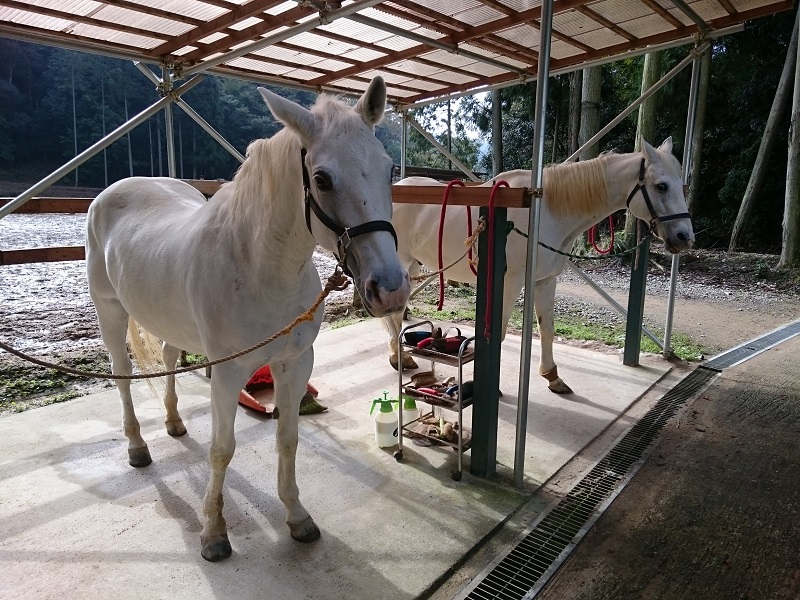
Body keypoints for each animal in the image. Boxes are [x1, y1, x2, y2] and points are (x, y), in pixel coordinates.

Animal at [87, 76, 410, 564]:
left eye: (389, 169)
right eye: (321, 179)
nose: (390, 289)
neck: (261, 268)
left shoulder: (295, 362)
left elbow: (288, 438)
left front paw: (297, 517)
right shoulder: (227, 373)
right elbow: (222, 451)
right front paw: (213, 533)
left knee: (168, 355)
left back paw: (174, 422)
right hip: (110, 311)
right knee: (122, 373)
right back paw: (138, 447)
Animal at [386, 138, 692, 396]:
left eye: (682, 185)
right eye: (661, 186)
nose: (685, 237)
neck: (547, 213)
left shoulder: (545, 280)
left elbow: (547, 329)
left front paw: (552, 377)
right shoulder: (510, 283)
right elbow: (499, 332)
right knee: (392, 314)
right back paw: (400, 356)